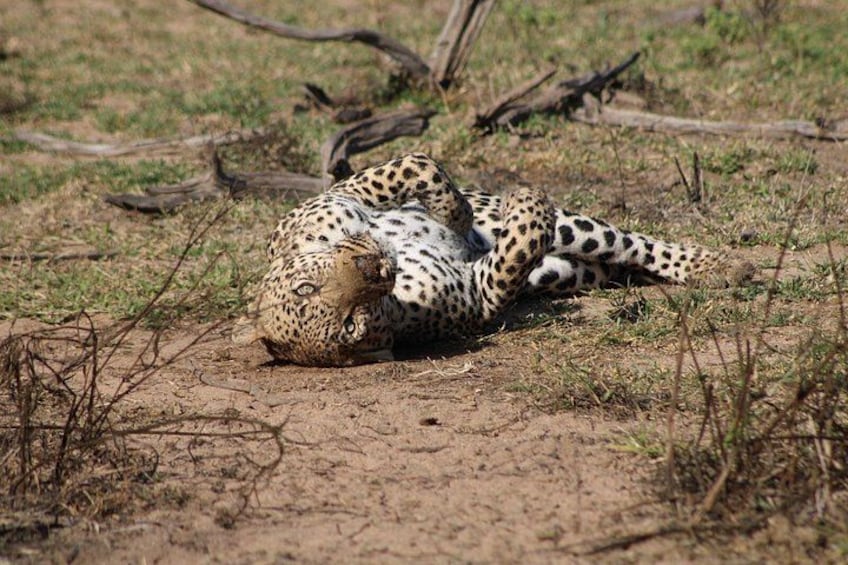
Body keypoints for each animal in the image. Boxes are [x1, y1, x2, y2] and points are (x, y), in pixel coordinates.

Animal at [233, 153, 754, 366]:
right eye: (351, 326)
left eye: (306, 287)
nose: (375, 267)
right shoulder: (478, 293)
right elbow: (516, 252)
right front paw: (526, 204)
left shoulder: (343, 192)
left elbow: (415, 165)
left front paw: (457, 214)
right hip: (571, 269)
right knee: (611, 257)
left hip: (581, 230)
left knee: (631, 241)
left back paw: (721, 266)